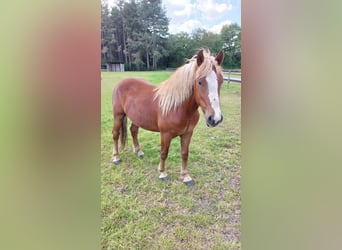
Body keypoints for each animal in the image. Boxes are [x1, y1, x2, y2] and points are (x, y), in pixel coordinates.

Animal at [112, 49, 224, 186]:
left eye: (221, 81)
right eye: (199, 82)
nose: (215, 118)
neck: (178, 108)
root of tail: (121, 83)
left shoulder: (187, 133)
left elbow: (185, 153)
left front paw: (186, 176)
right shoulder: (165, 134)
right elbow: (164, 153)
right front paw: (162, 173)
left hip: (136, 118)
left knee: (133, 131)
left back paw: (139, 152)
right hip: (118, 116)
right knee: (116, 134)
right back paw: (116, 157)